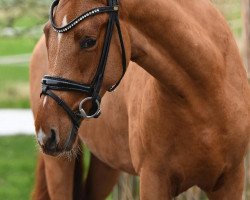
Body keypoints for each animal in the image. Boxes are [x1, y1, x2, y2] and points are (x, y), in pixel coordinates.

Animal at [31, 0, 250, 198]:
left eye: (88, 40)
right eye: (47, 33)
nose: (45, 133)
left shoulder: (231, 180)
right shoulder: (153, 180)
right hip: (59, 165)